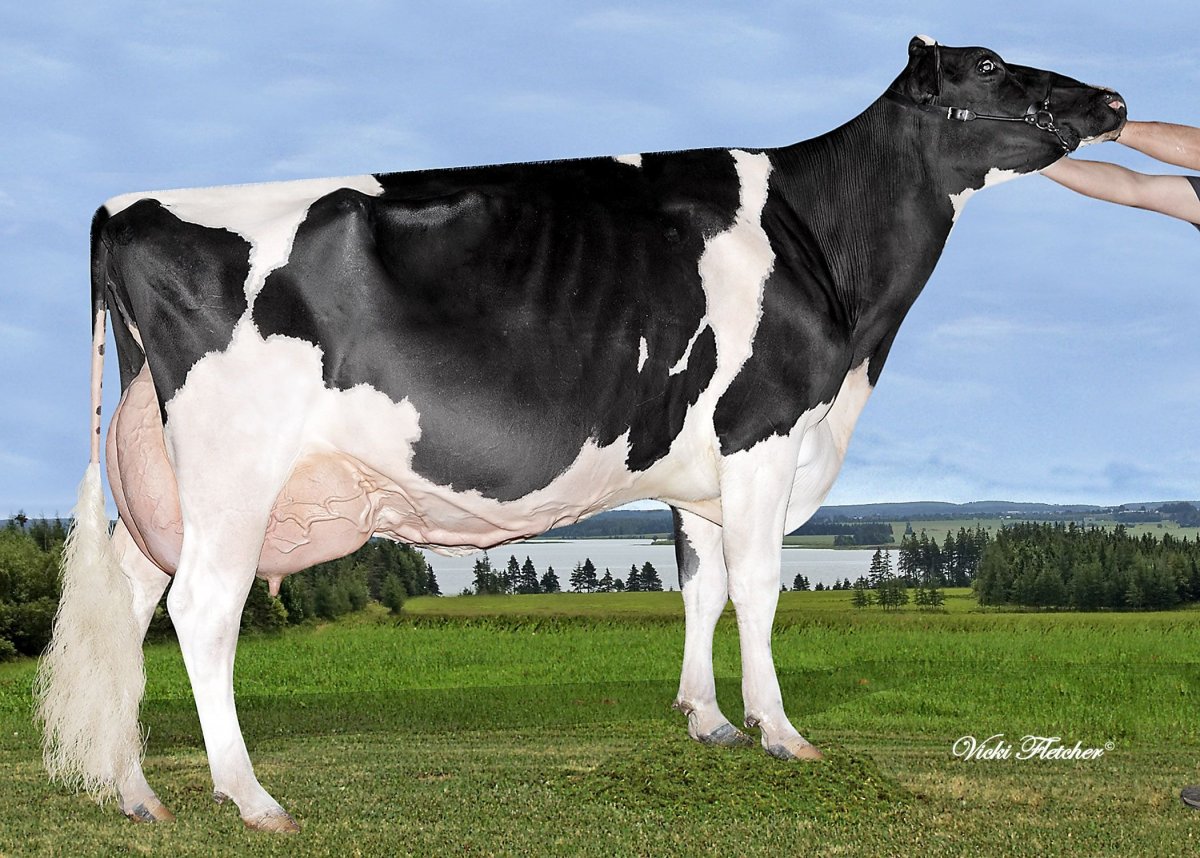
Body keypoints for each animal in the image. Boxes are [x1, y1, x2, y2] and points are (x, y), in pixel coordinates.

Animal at [35, 37, 1125, 832]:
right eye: (993, 68)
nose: (1113, 99)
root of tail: (122, 208)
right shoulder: (764, 429)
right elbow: (760, 588)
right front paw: (781, 733)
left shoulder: (699, 469)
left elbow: (702, 586)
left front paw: (709, 724)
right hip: (233, 467)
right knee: (202, 611)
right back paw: (251, 797)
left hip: (163, 478)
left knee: (132, 600)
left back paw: (136, 791)